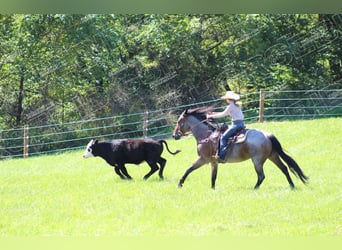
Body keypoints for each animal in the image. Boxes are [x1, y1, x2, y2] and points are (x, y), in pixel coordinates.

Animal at [172, 106, 308, 189]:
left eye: (179, 121)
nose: (174, 135)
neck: (206, 135)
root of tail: (267, 135)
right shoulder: (213, 162)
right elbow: (213, 177)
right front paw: (212, 189)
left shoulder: (203, 159)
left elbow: (188, 169)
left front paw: (179, 184)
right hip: (273, 156)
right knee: (285, 168)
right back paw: (292, 186)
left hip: (257, 160)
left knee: (261, 176)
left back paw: (254, 188)